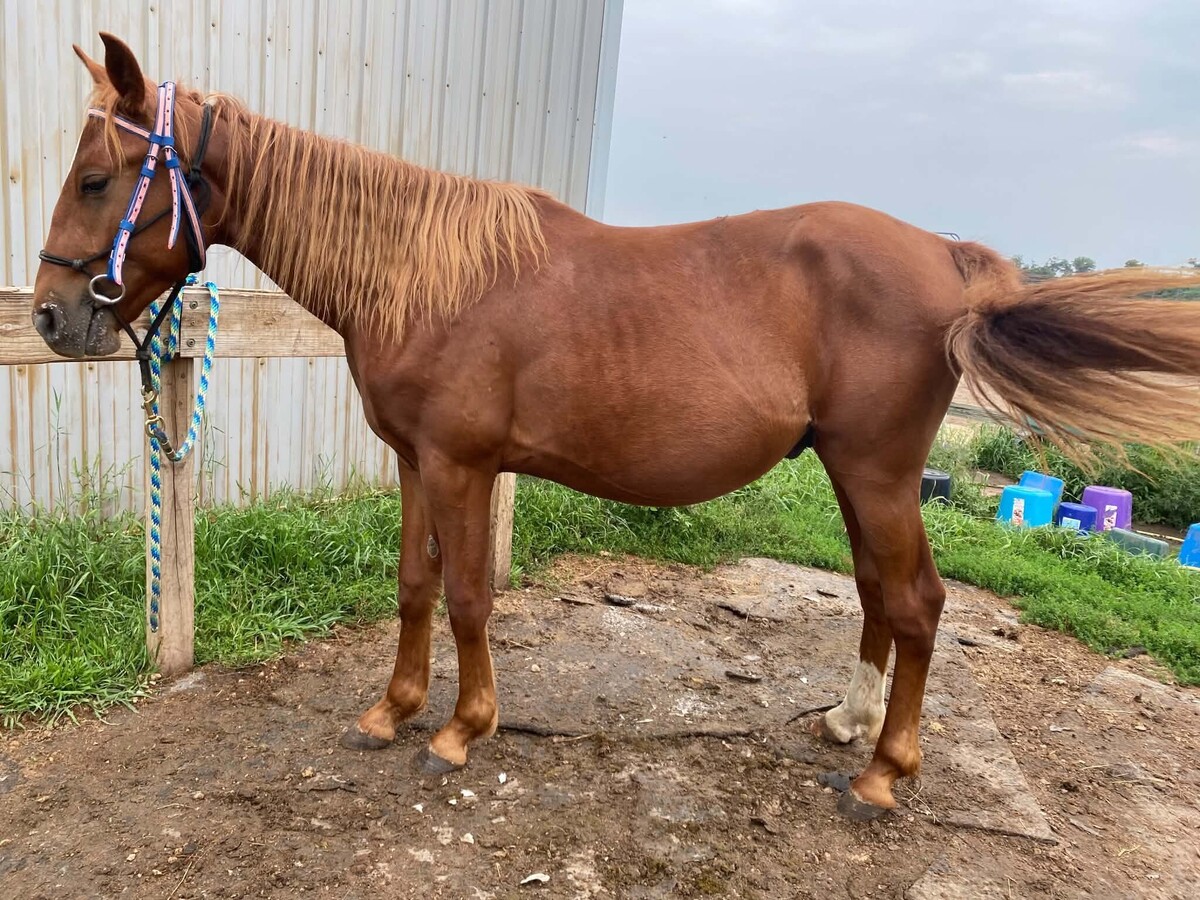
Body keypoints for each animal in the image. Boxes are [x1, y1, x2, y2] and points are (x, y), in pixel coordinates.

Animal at [32, 34, 1200, 820]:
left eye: (96, 178)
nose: (50, 317)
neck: (425, 271)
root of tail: (948, 257)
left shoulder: (461, 465)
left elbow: (468, 597)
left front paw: (459, 730)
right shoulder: (414, 463)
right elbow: (413, 587)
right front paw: (391, 710)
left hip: (876, 471)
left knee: (915, 603)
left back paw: (882, 773)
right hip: (856, 473)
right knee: (879, 594)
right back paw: (849, 724)